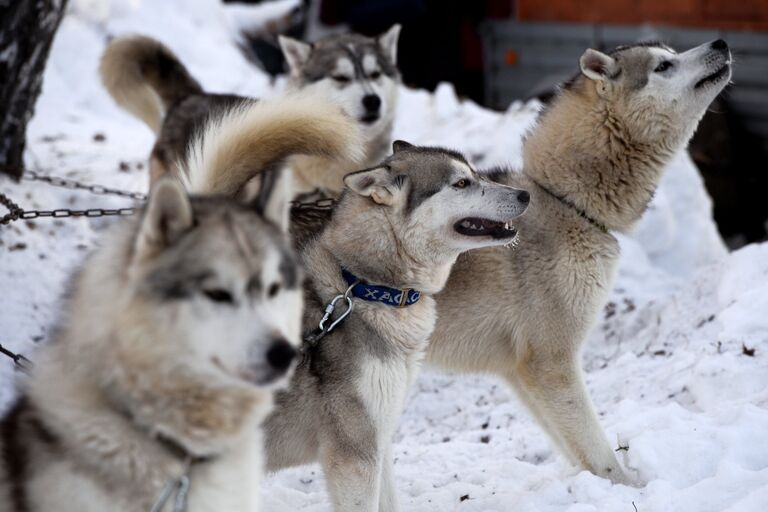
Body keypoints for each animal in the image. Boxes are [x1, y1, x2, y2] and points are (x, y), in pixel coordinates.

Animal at [420, 40, 732, 484]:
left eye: (671, 51)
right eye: (663, 66)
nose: (720, 42)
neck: (565, 200)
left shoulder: (522, 371)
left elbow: (575, 448)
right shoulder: (553, 361)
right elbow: (597, 448)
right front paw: (628, 487)